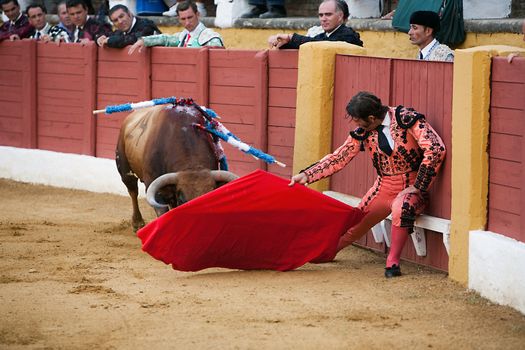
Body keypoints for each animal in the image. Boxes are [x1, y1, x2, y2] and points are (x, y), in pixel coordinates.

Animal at [116, 102, 237, 231]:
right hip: (125, 169)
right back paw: (137, 223)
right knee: (133, 191)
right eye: (183, 200)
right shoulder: (156, 190)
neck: (192, 166)